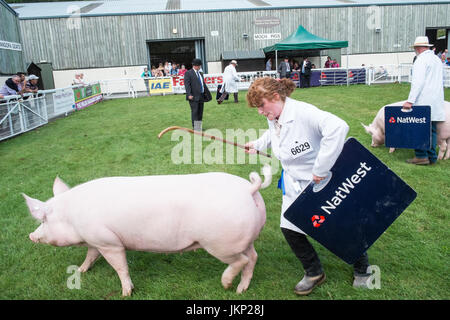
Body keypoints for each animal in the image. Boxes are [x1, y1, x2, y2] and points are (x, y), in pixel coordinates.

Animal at [23, 166, 270, 296]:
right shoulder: (96, 240)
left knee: (241, 261)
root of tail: (249, 189)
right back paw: (241, 290)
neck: (73, 216)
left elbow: (120, 267)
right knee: (253, 257)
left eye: (43, 219)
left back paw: (226, 285)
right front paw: (82, 271)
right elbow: (90, 255)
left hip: (220, 244)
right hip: (245, 239)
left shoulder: (109, 243)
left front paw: (126, 293)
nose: (31, 236)